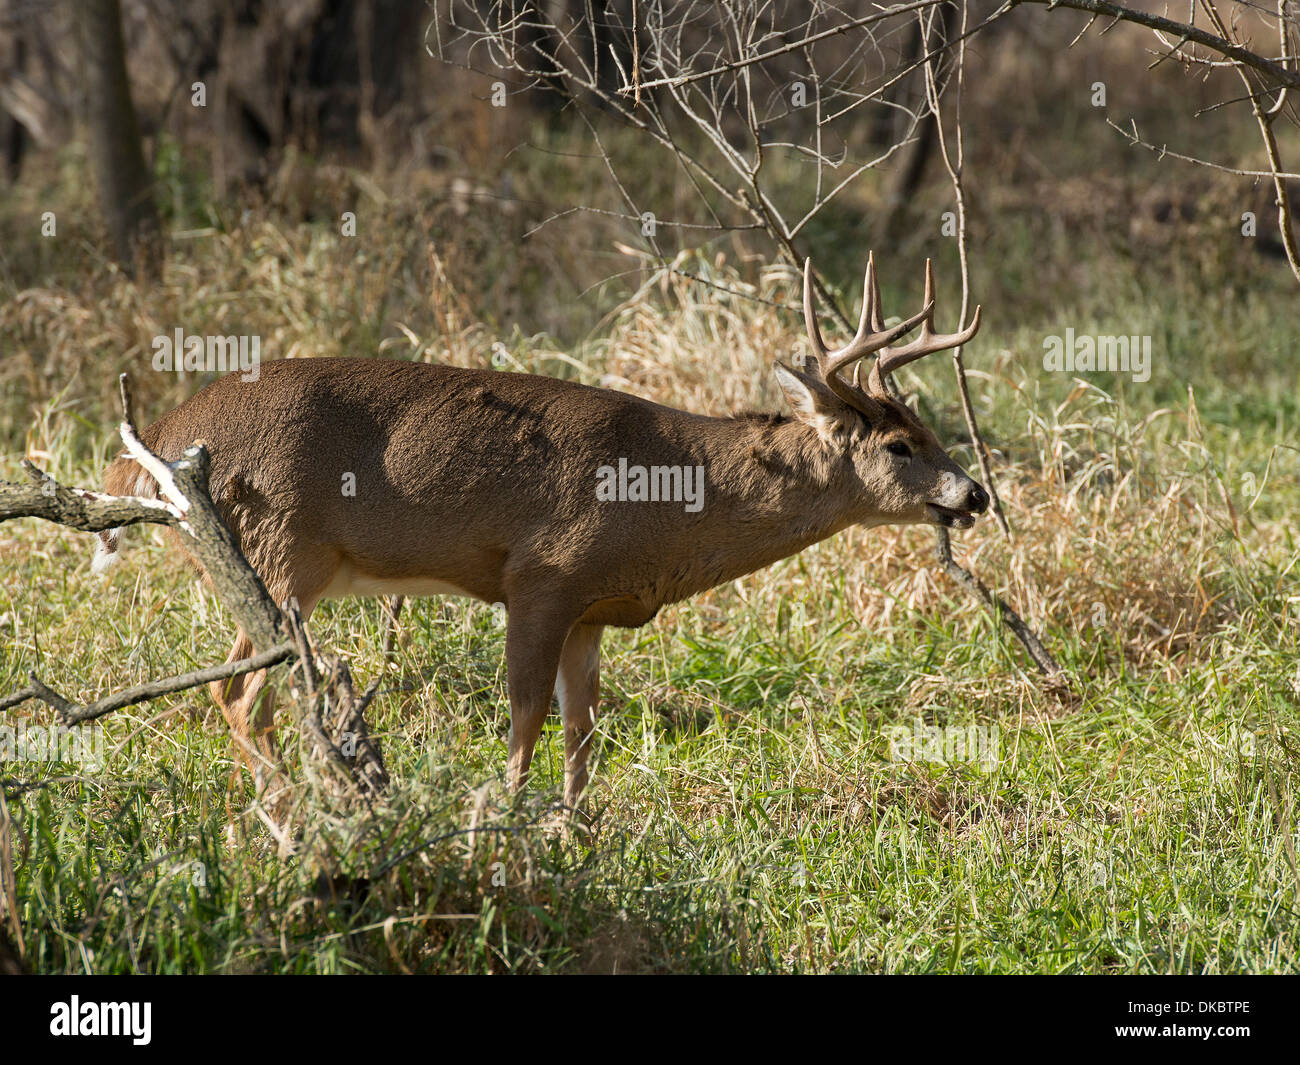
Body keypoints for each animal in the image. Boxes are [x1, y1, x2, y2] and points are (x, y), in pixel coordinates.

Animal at [94, 256, 982, 816]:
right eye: (899, 445)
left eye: (932, 430)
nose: (973, 493)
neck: (667, 495)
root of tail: (155, 442)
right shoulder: (539, 575)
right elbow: (525, 714)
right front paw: (511, 823)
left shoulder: (591, 608)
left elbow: (583, 725)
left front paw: (576, 829)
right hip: (283, 555)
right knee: (241, 694)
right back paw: (292, 816)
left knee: (240, 693)